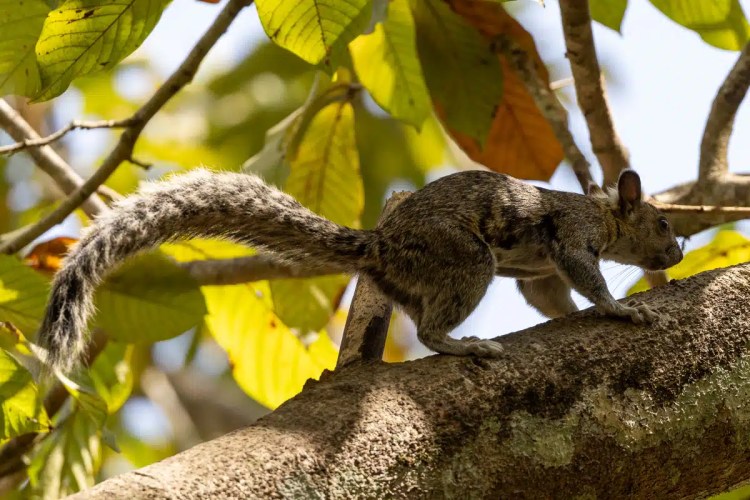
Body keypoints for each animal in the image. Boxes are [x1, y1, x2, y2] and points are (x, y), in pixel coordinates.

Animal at [37, 168, 682, 373]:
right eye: (662, 223)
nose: (678, 254)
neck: (604, 212)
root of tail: (383, 248)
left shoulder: (541, 271)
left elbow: (549, 296)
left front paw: (572, 313)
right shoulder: (571, 235)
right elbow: (584, 275)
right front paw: (620, 308)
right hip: (466, 261)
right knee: (430, 330)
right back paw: (465, 345)